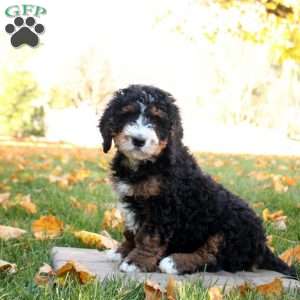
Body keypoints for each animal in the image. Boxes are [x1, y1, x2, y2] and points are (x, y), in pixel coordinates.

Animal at [98, 84, 296, 276]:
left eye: (157, 120)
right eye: (127, 114)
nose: (138, 140)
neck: (146, 163)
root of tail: (263, 246)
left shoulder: (163, 206)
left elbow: (149, 237)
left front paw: (136, 261)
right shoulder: (131, 199)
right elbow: (130, 231)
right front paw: (122, 251)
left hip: (229, 229)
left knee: (212, 257)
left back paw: (174, 262)